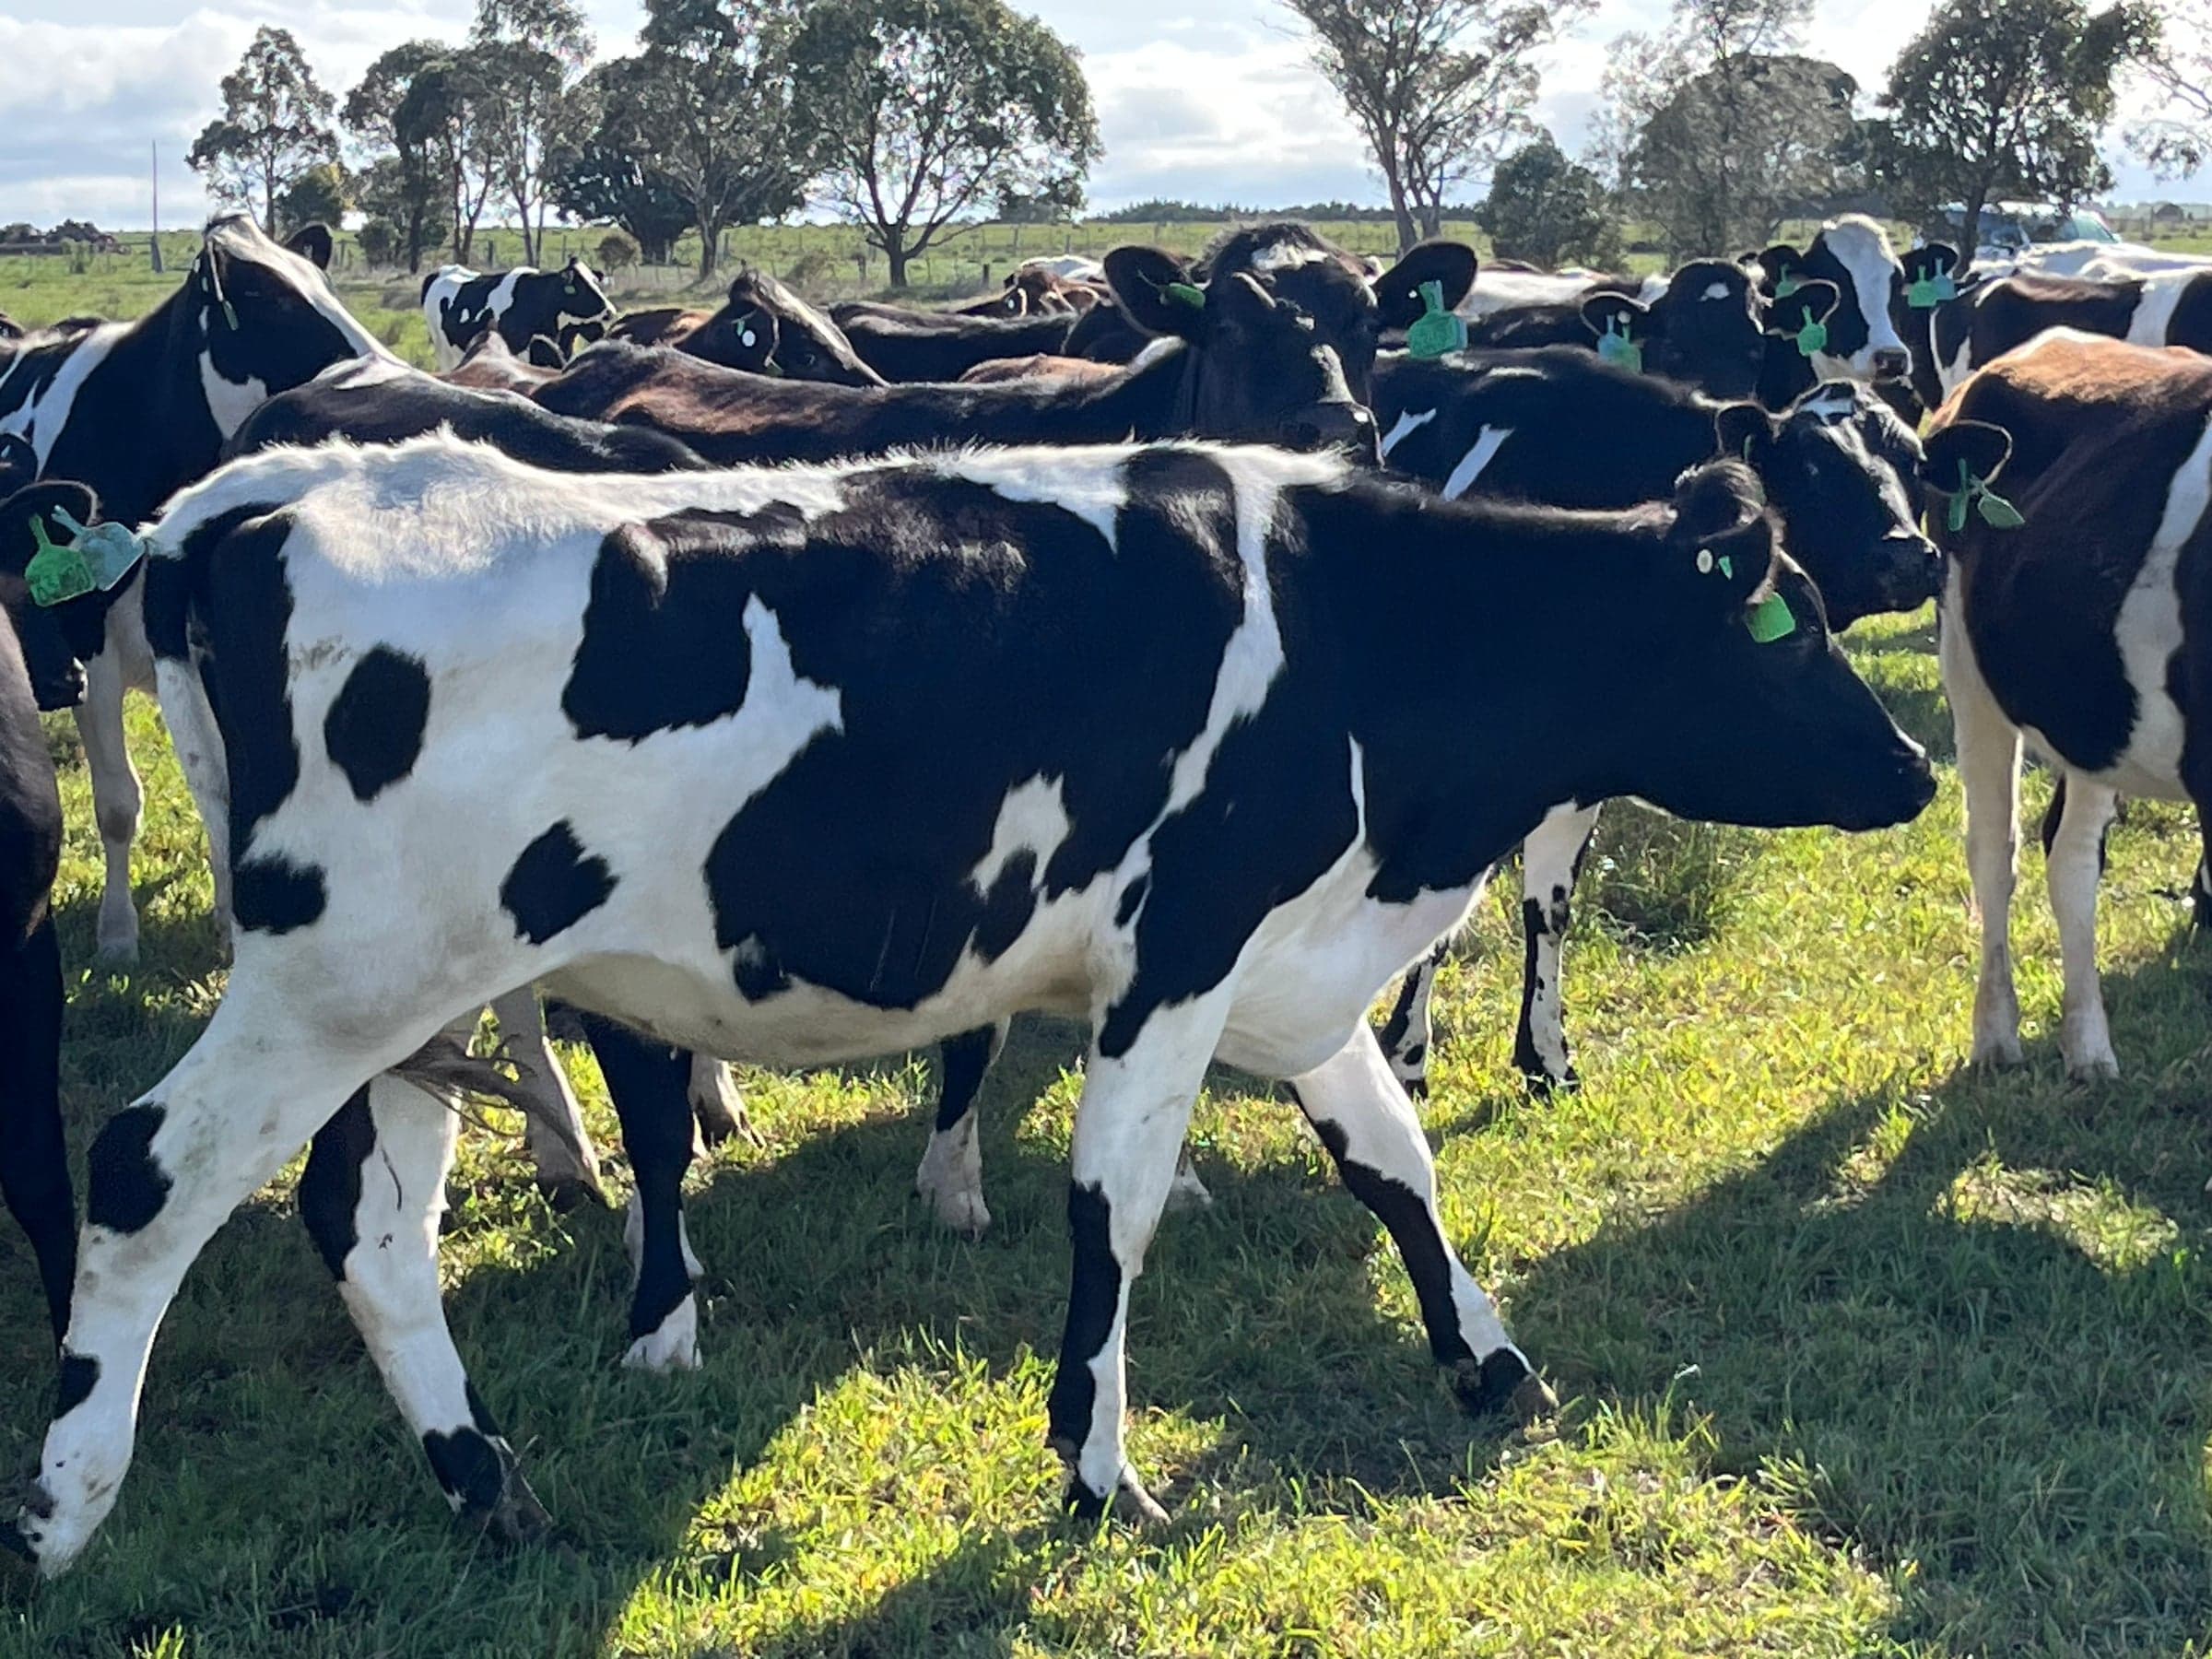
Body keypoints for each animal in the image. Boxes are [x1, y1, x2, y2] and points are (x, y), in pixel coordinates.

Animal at [0, 215, 391, 964]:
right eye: (267, 302)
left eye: (323, 283)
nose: (377, 375)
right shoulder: (90, 650)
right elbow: (118, 802)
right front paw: (118, 935)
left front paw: (228, 922)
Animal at [0, 426, 1936, 1575]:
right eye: (1783, 624)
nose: (1915, 768)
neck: (1356, 640)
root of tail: (255, 498)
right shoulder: (1177, 956)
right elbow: (1117, 1208)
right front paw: (1098, 1464)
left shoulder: (1290, 974)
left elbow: (1397, 1164)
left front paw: (1491, 1360)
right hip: (340, 983)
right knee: (146, 1179)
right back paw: (65, 1508)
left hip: (415, 1012)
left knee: (371, 1228)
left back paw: (489, 1484)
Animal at [1371, 348, 1944, 1091]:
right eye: (1816, 466)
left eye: (1915, 461)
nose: (1909, 556)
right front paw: (1407, 1054)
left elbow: (1549, 908)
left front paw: (1546, 1058)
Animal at [1924, 330, 2212, 1080]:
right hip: (1967, 669)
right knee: (1995, 851)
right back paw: (1996, 1038)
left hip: (2093, 720)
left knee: (2073, 857)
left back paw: (2087, 1049)